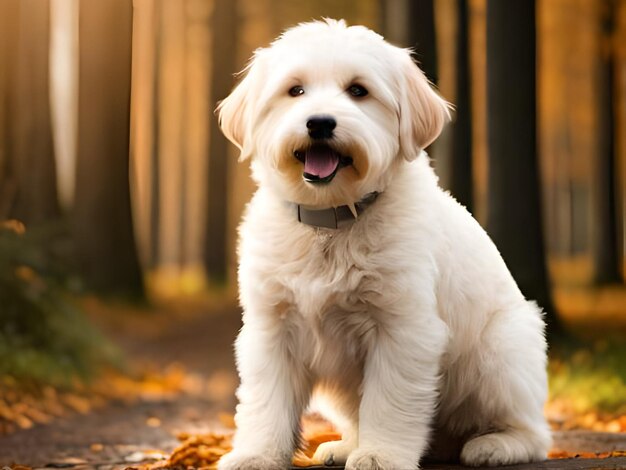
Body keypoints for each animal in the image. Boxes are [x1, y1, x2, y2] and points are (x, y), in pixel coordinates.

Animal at [217, 18, 548, 470]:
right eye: (295, 90)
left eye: (358, 90)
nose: (320, 123)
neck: (332, 222)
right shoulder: (272, 326)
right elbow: (267, 401)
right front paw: (257, 454)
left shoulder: (402, 327)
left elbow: (388, 401)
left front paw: (380, 455)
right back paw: (345, 445)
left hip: (500, 354)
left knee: (534, 431)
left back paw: (495, 445)